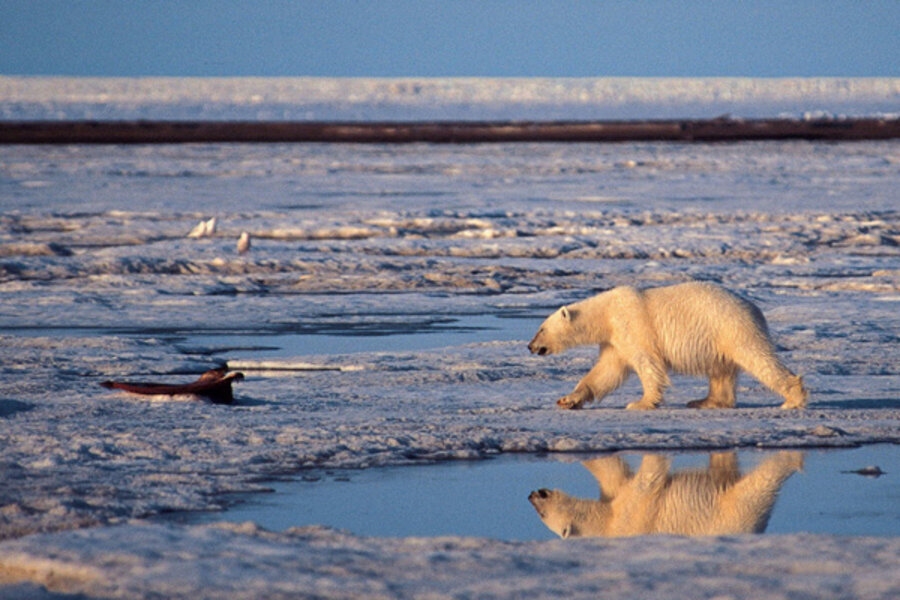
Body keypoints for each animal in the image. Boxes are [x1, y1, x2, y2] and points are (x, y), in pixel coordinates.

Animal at [528, 282, 808, 408]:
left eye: (541, 329)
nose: (530, 346)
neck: (606, 313)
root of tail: (754, 308)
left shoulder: (633, 326)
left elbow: (647, 363)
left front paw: (640, 403)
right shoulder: (614, 341)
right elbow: (606, 372)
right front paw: (568, 399)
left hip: (732, 327)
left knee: (758, 359)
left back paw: (792, 399)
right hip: (720, 338)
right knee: (721, 370)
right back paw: (705, 401)